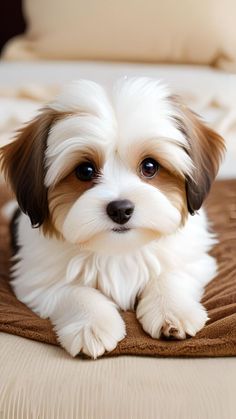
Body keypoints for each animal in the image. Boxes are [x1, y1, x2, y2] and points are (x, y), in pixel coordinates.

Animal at [0, 78, 225, 358]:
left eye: (149, 166)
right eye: (85, 171)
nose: (120, 209)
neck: (119, 249)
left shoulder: (194, 260)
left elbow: (170, 274)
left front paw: (172, 309)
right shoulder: (36, 280)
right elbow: (74, 291)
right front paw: (91, 323)